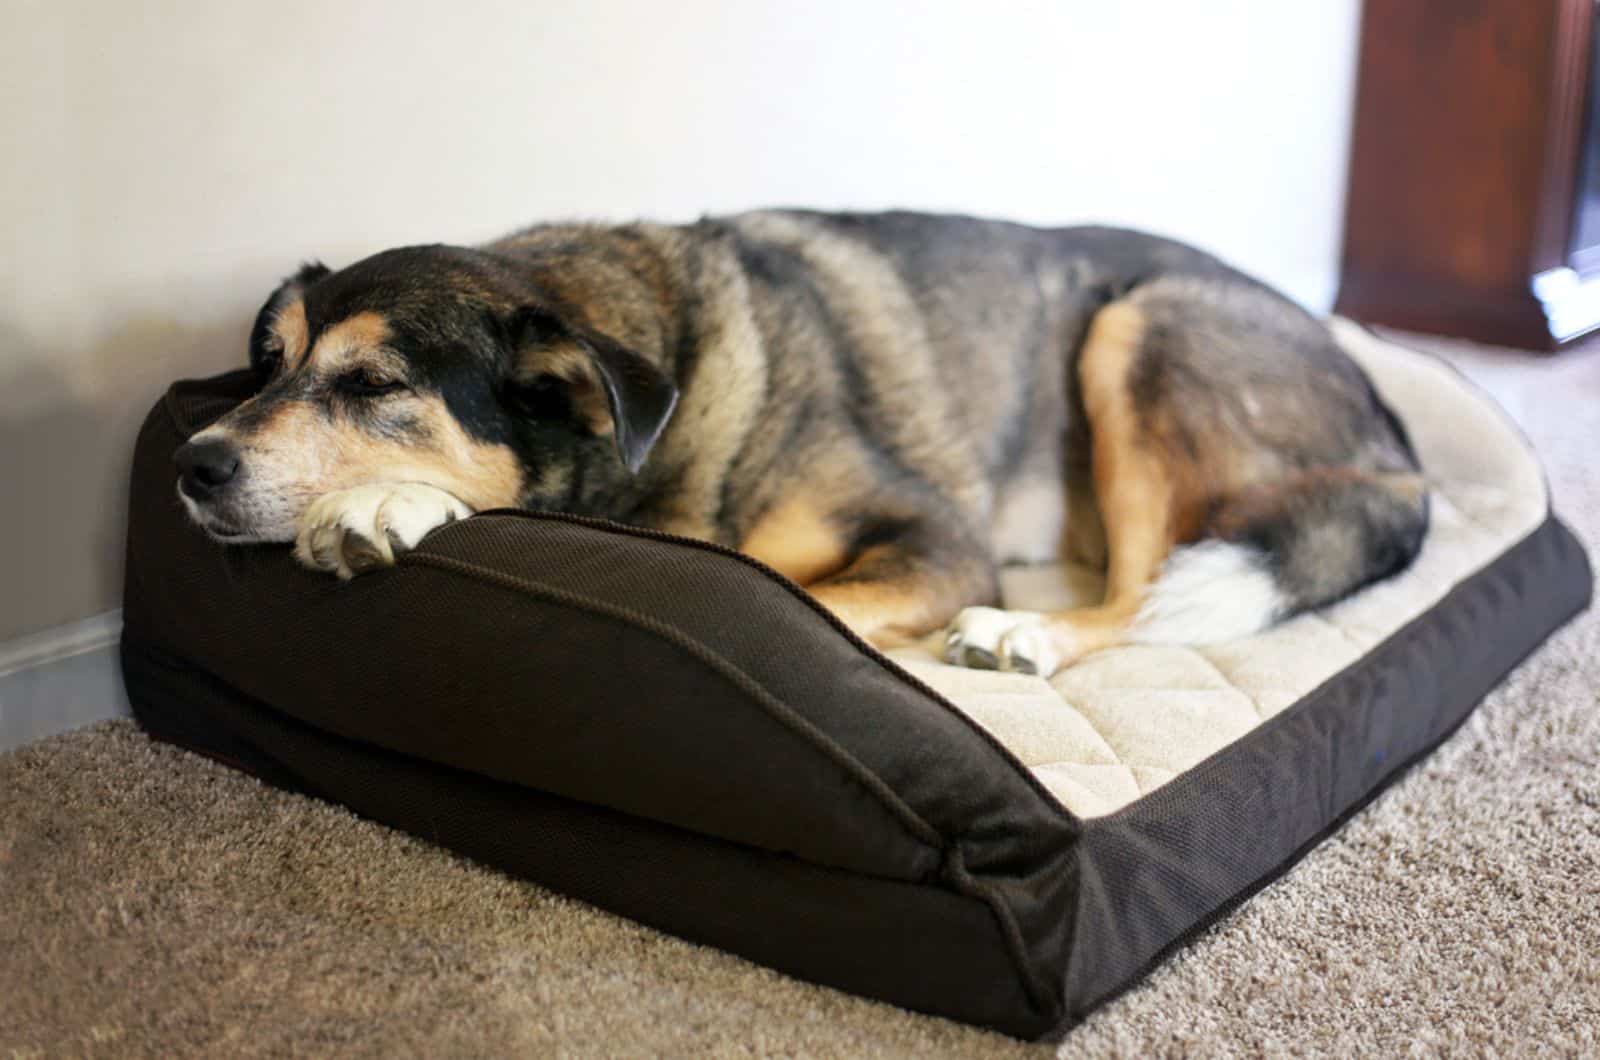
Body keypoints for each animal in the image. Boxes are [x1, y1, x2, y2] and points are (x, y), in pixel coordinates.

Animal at [172, 211, 1427, 675]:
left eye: (374, 382)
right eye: (269, 362)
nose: (191, 464)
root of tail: (1398, 452)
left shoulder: (935, 538)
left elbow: (797, 596)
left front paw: (384, 502)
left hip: (1135, 329)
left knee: (1142, 594)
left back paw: (1022, 631)